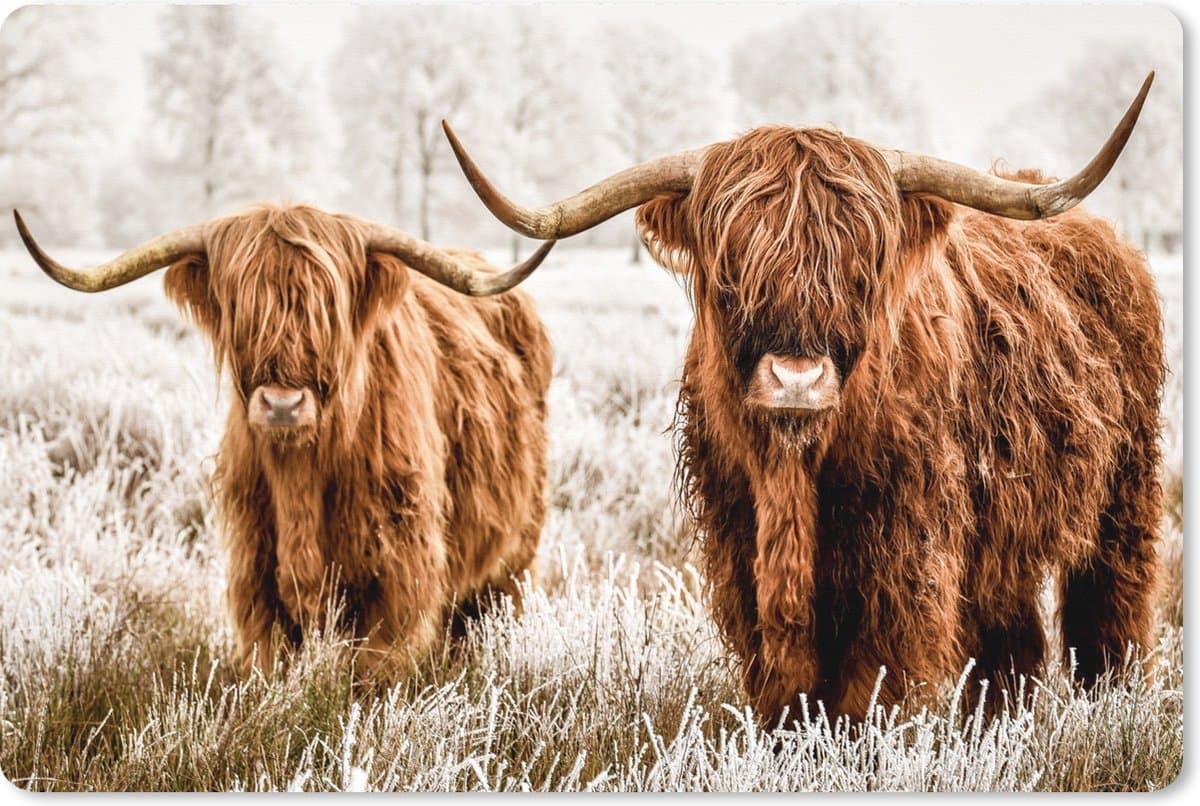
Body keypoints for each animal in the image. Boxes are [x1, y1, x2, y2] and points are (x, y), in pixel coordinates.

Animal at [15, 204, 556, 680]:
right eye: (240, 307)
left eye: (327, 309)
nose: (281, 404)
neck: (302, 475)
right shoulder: (255, 571)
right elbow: (270, 664)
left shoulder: (399, 571)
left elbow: (376, 671)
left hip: (514, 557)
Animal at [439, 73, 1164, 724]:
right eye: (731, 266)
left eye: (861, 266)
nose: (796, 380)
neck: (796, 471)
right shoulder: (740, 545)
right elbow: (784, 681)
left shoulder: (906, 553)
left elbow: (873, 682)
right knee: (1011, 638)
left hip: (1125, 493)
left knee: (1110, 605)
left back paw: (1108, 703)